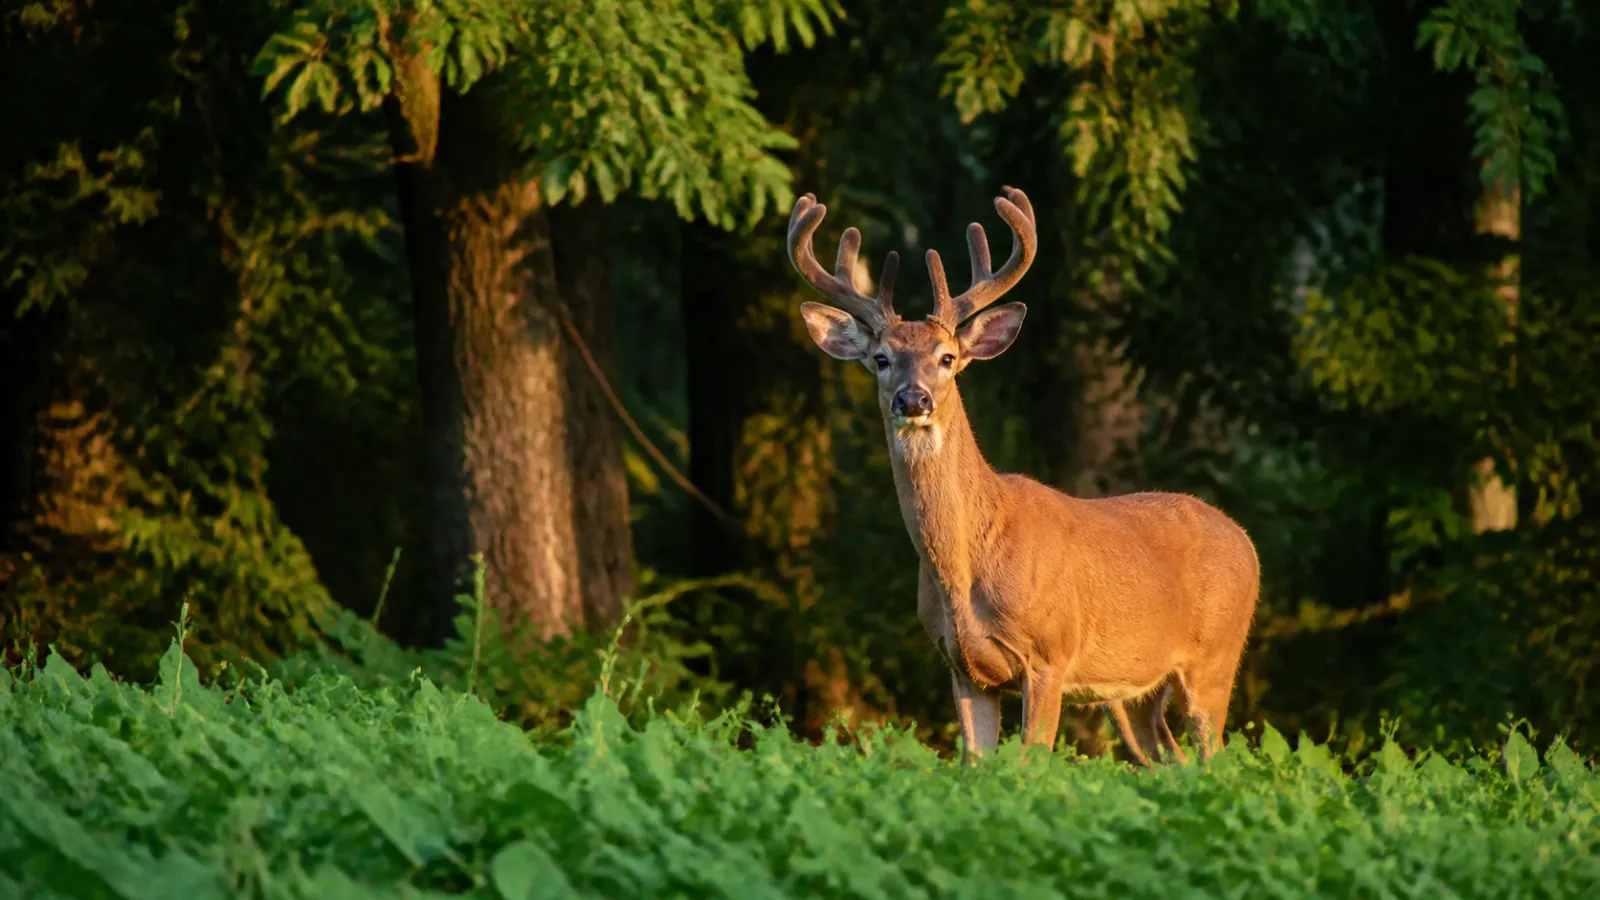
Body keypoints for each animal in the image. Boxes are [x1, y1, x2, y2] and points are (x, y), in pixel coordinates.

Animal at [786, 186, 1260, 768]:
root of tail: (1245, 540)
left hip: (1215, 659)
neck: (968, 564)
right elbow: (974, 766)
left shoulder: (1049, 655)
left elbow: (1032, 766)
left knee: (1217, 757)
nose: (913, 399)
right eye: (880, 358)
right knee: (1169, 759)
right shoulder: (962, 668)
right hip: (1132, 693)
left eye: (948, 357)